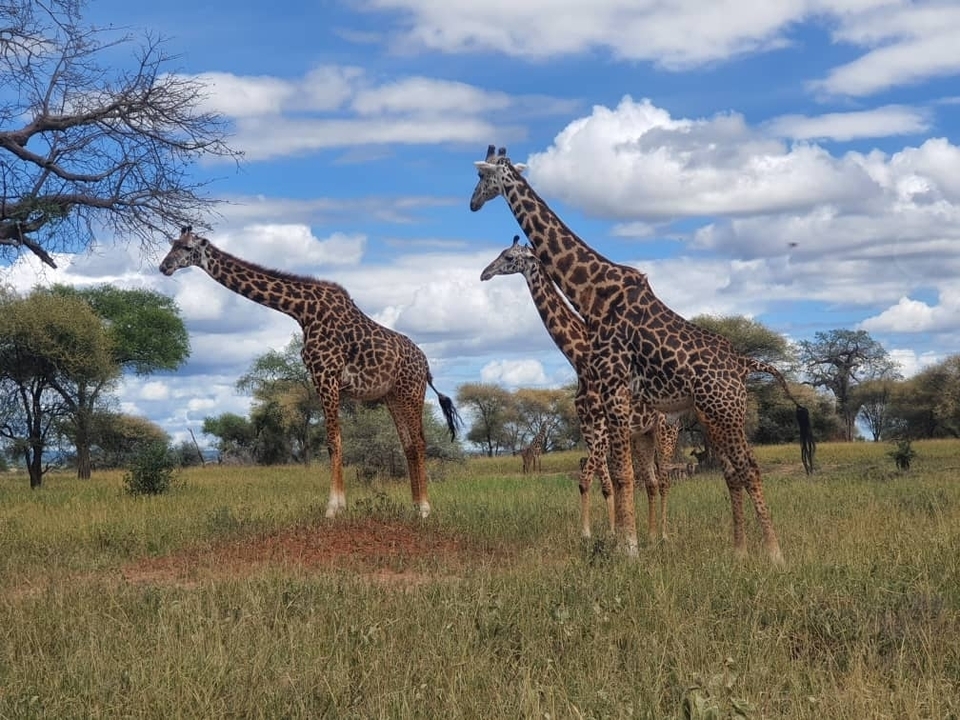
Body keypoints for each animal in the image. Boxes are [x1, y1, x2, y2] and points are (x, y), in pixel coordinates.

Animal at [159, 226, 461, 519]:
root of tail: (426, 366)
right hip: (392, 396)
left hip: (411, 391)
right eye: (172, 243)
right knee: (408, 444)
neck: (302, 311)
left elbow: (333, 441)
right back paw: (414, 506)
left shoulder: (327, 374)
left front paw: (333, 508)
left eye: (186, 247)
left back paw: (425, 508)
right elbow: (335, 441)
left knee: (420, 442)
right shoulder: (319, 377)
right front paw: (338, 505)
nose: (164, 267)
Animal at [481, 236, 681, 539]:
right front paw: (611, 532)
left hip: (665, 432)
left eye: (508, 257)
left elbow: (588, 479)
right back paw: (649, 534)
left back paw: (665, 535)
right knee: (652, 481)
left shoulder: (602, 428)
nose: (485, 273)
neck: (580, 360)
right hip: (642, 436)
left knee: (666, 478)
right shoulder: (589, 428)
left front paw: (588, 533)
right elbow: (605, 483)